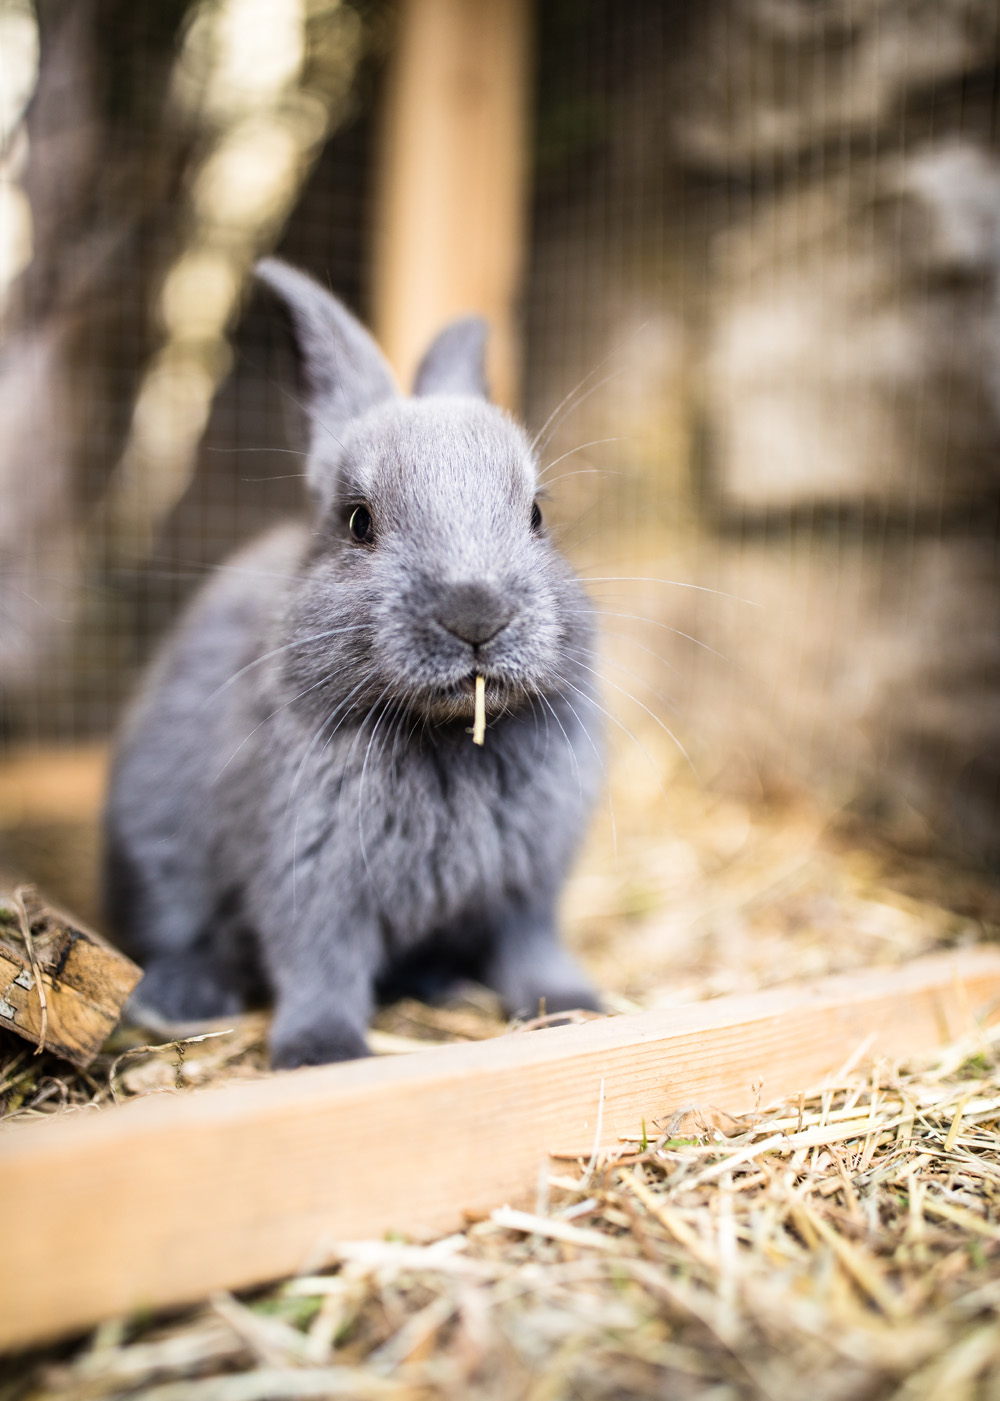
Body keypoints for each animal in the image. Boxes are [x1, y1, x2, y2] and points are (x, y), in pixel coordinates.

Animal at [104, 259, 604, 1068]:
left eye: (537, 516)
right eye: (358, 522)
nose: (476, 613)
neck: (445, 736)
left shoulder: (526, 891)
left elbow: (531, 952)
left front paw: (574, 1009)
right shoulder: (310, 882)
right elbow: (320, 966)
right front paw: (322, 1052)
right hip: (157, 866)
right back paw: (176, 1002)